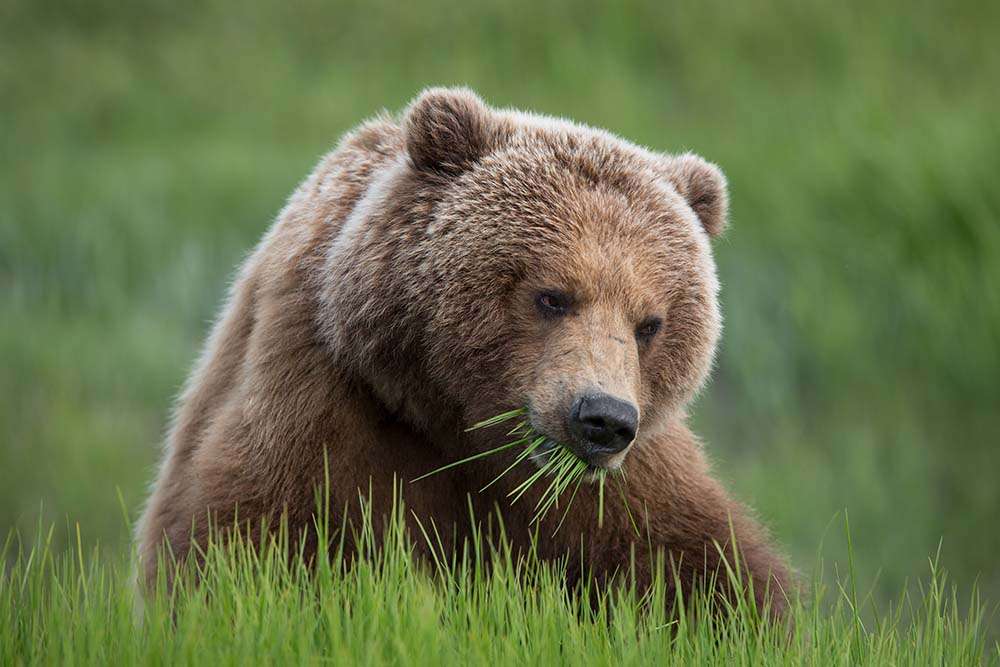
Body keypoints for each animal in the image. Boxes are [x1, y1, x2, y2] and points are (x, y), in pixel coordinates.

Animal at [137, 87, 792, 620]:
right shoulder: (320, 401)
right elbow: (257, 547)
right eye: (553, 296)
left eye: (649, 324)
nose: (601, 419)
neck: (455, 423)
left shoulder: (620, 485)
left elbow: (705, 569)